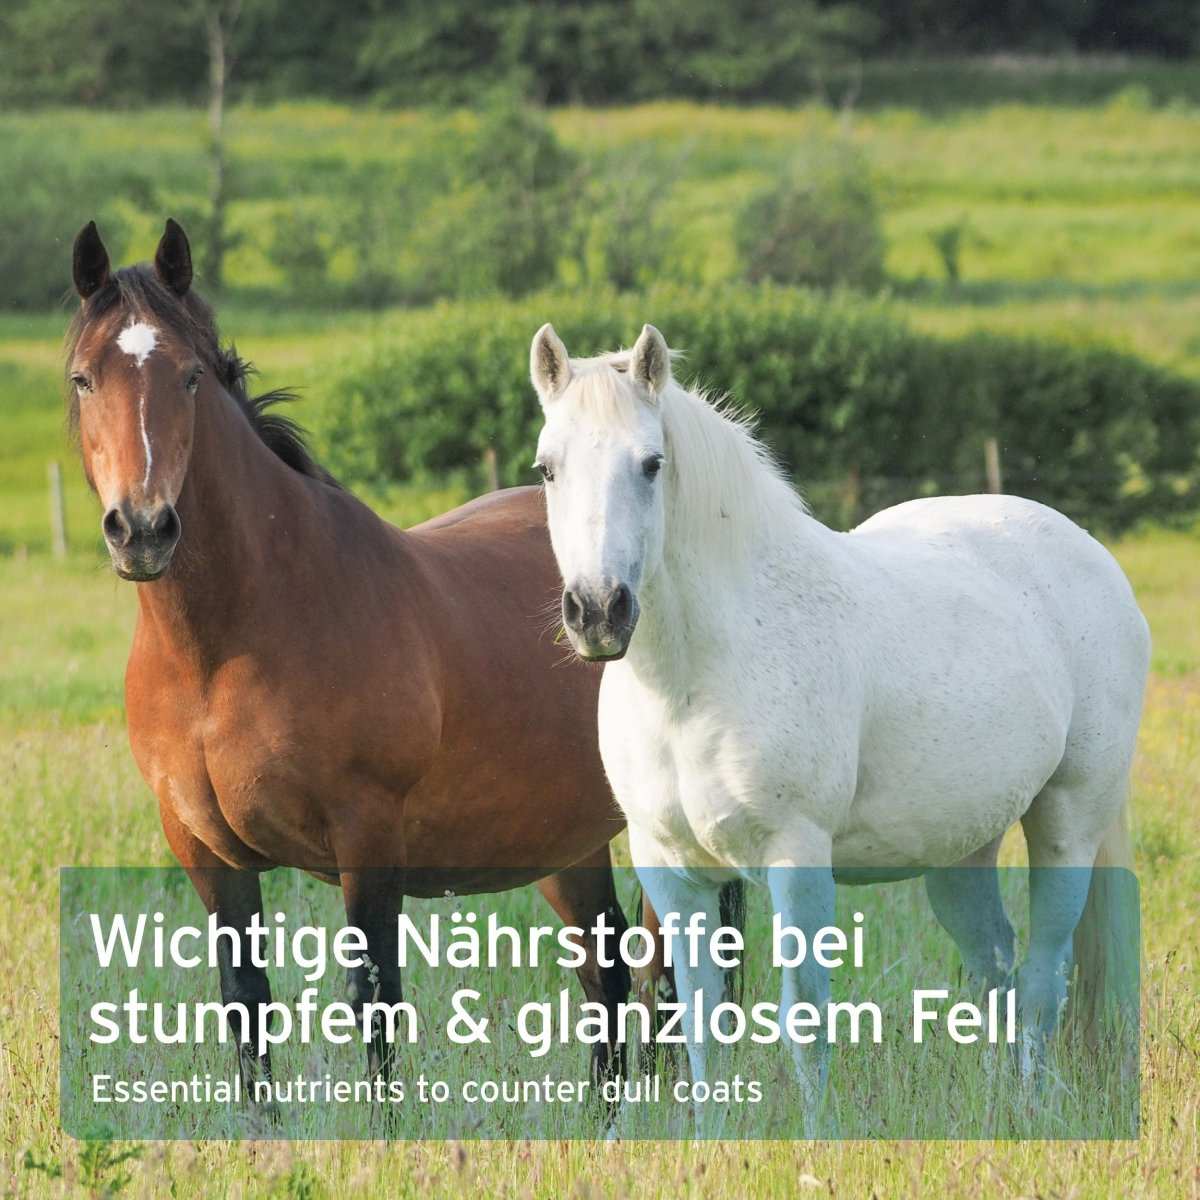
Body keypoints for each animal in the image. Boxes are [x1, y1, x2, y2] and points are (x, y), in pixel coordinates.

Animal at [64, 217, 653, 1102]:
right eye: (83, 379)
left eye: (191, 376)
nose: (142, 529)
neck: (224, 650)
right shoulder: (206, 854)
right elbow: (245, 1005)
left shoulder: (367, 840)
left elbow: (374, 1002)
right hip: (569, 843)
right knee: (608, 978)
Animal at [528, 320, 1148, 1122]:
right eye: (548, 469)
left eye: (651, 463)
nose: (599, 611)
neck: (698, 678)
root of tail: (1091, 555)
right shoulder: (671, 870)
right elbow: (698, 1025)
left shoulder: (798, 859)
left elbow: (805, 1020)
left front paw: (816, 1134)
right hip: (960, 852)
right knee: (996, 968)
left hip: (1068, 822)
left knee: (1043, 978)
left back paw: (1032, 1113)